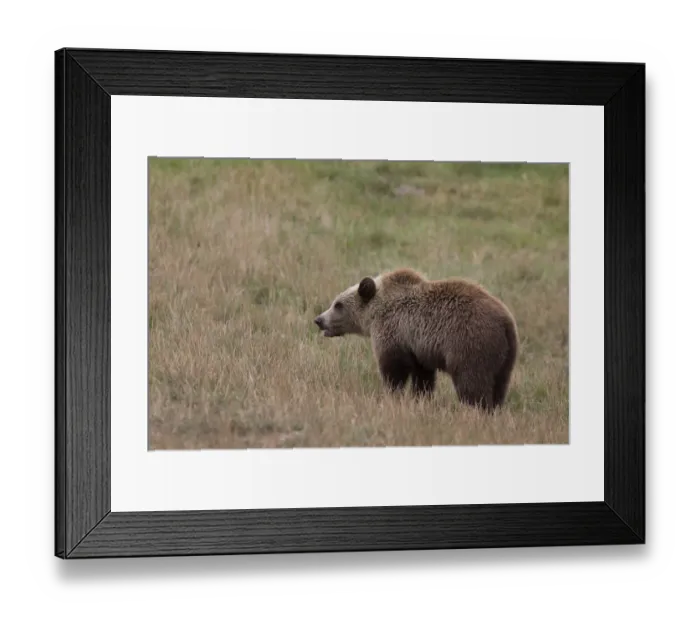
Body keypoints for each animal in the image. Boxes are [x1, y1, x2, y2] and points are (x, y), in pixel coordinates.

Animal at [314, 268, 518, 411]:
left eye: (338, 304)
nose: (319, 320)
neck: (374, 314)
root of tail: (506, 321)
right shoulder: (419, 347)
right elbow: (423, 376)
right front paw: (420, 399)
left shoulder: (393, 332)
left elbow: (393, 369)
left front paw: (391, 395)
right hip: (504, 356)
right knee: (499, 384)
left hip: (470, 344)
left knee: (472, 382)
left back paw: (475, 410)